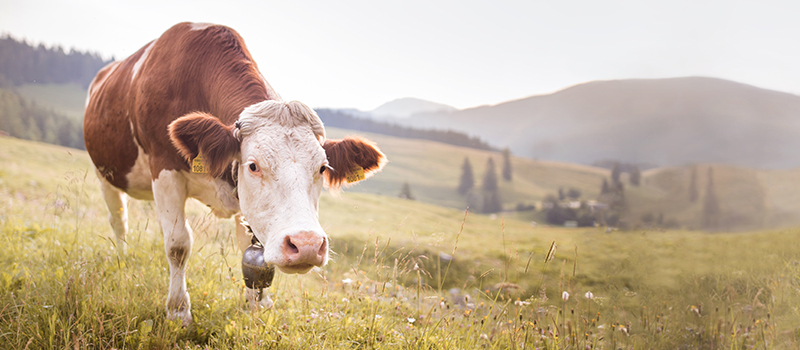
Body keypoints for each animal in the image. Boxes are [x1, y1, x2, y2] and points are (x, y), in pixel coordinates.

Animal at [83, 22, 386, 326]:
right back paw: (122, 257)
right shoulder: (165, 170)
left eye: (322, 167)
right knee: (119, 219)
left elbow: (247, 246)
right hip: (105, 173)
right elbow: (177, 244)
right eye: (253, 165)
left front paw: (259, 304)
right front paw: (178, 310)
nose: (307, 245)